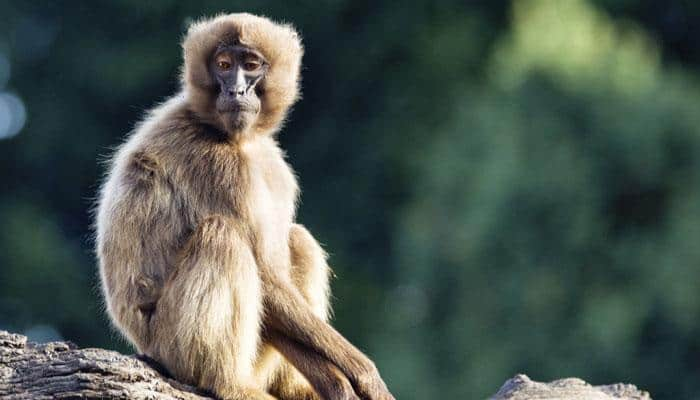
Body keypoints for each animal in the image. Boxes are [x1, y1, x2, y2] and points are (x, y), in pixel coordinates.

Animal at [94, 12, 394, 400]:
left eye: (250, 66)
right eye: (223, 66)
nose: (236, 91)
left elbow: (274, 276)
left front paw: (335, 382)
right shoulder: (214, 163)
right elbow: (265, 275)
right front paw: (363, 373)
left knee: (296, 240)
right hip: (169, 344)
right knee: (222, 236)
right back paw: (229, 383)